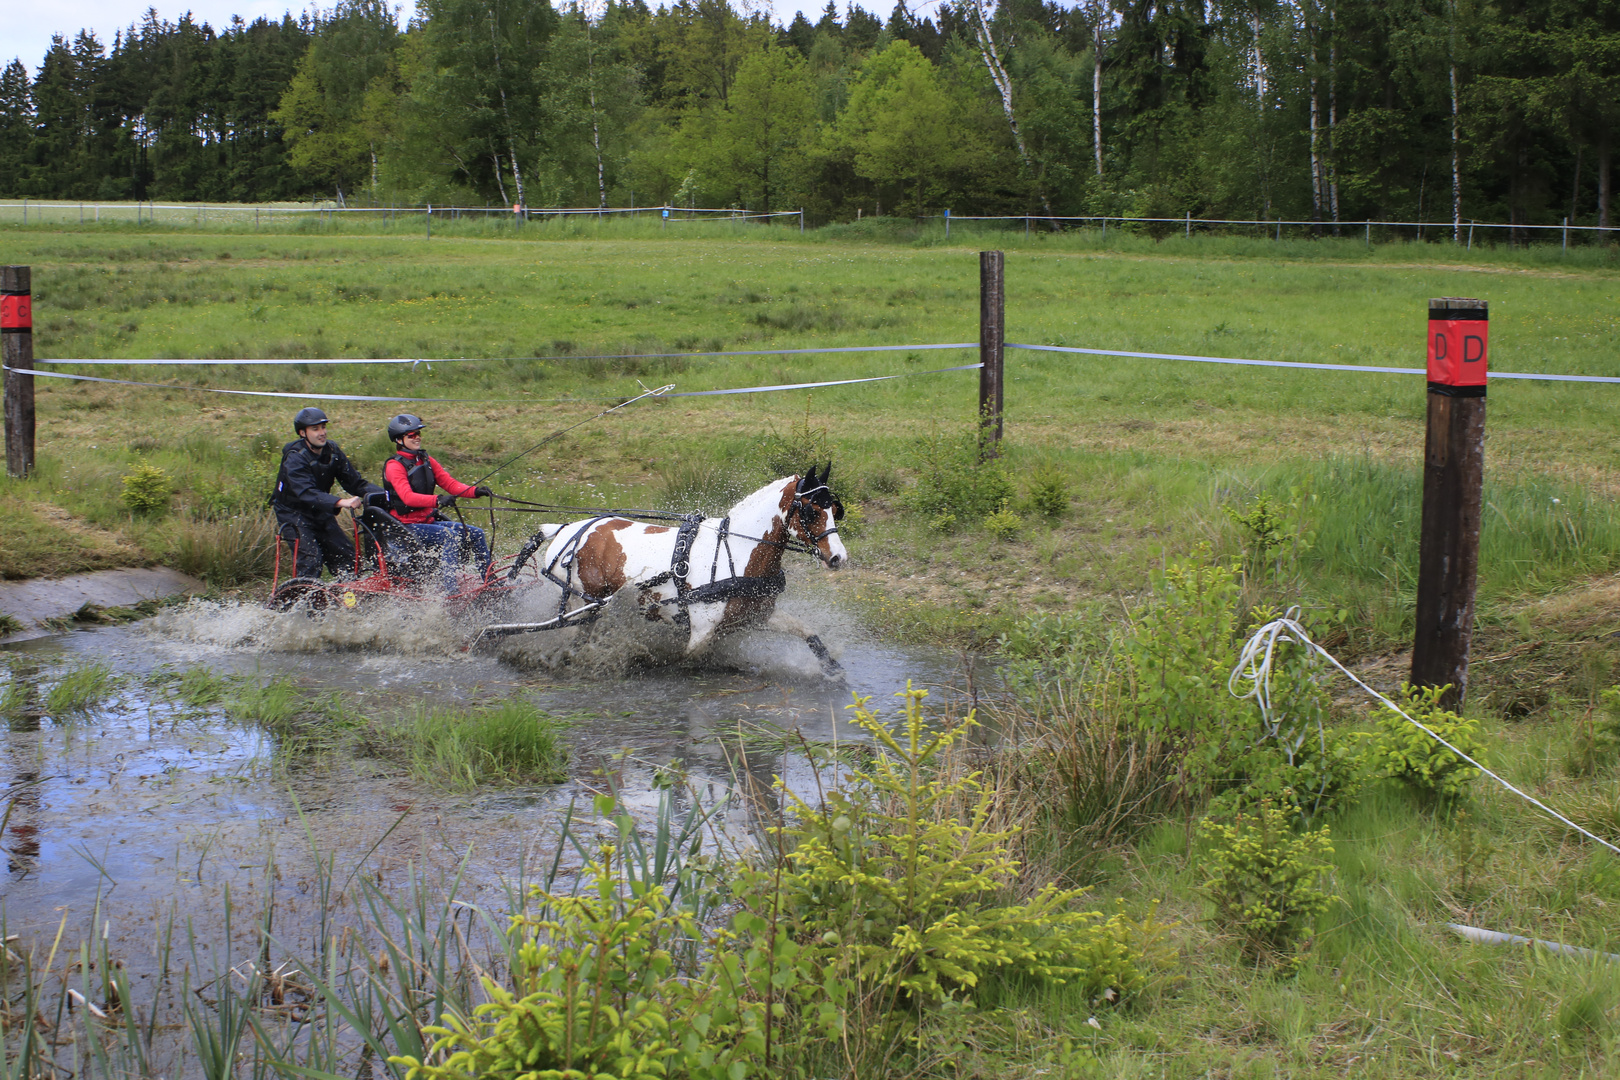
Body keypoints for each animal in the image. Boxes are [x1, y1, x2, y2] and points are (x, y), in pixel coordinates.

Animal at [515, 466, 848, 676]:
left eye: (835, 510)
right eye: (811, 511)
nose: (838, 557)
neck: (737, 552)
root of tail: (563, 529)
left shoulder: (758, 614)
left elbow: (809, 633)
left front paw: (831, 668)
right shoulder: (701, 631)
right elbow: (687, 660)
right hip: (580, 604)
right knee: (572, 638)